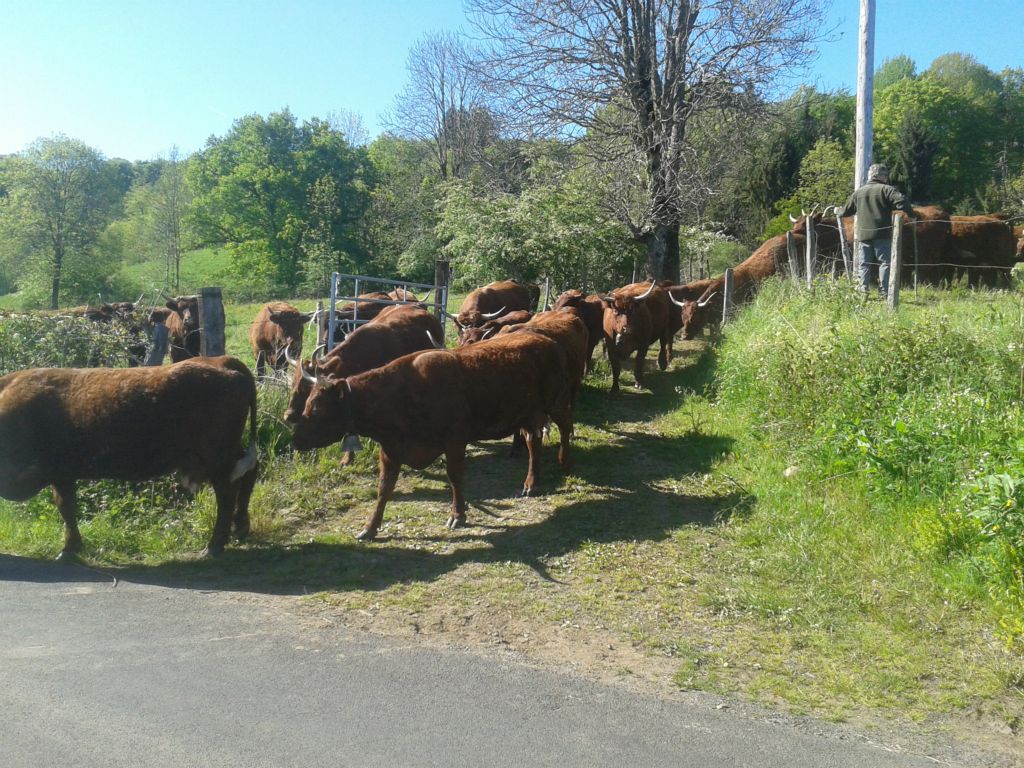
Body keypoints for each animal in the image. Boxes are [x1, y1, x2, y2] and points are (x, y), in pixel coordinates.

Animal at [0, 354, 260, 561]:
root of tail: (220, 360)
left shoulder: (59, 472)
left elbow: (66, 508)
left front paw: (69, 550)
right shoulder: (63, 475)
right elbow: (68, 507)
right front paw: (72, 548)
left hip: (217, 458)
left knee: (227, 494)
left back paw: (214, 546)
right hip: (228, 454)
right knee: (248, 475)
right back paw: (240, 528)